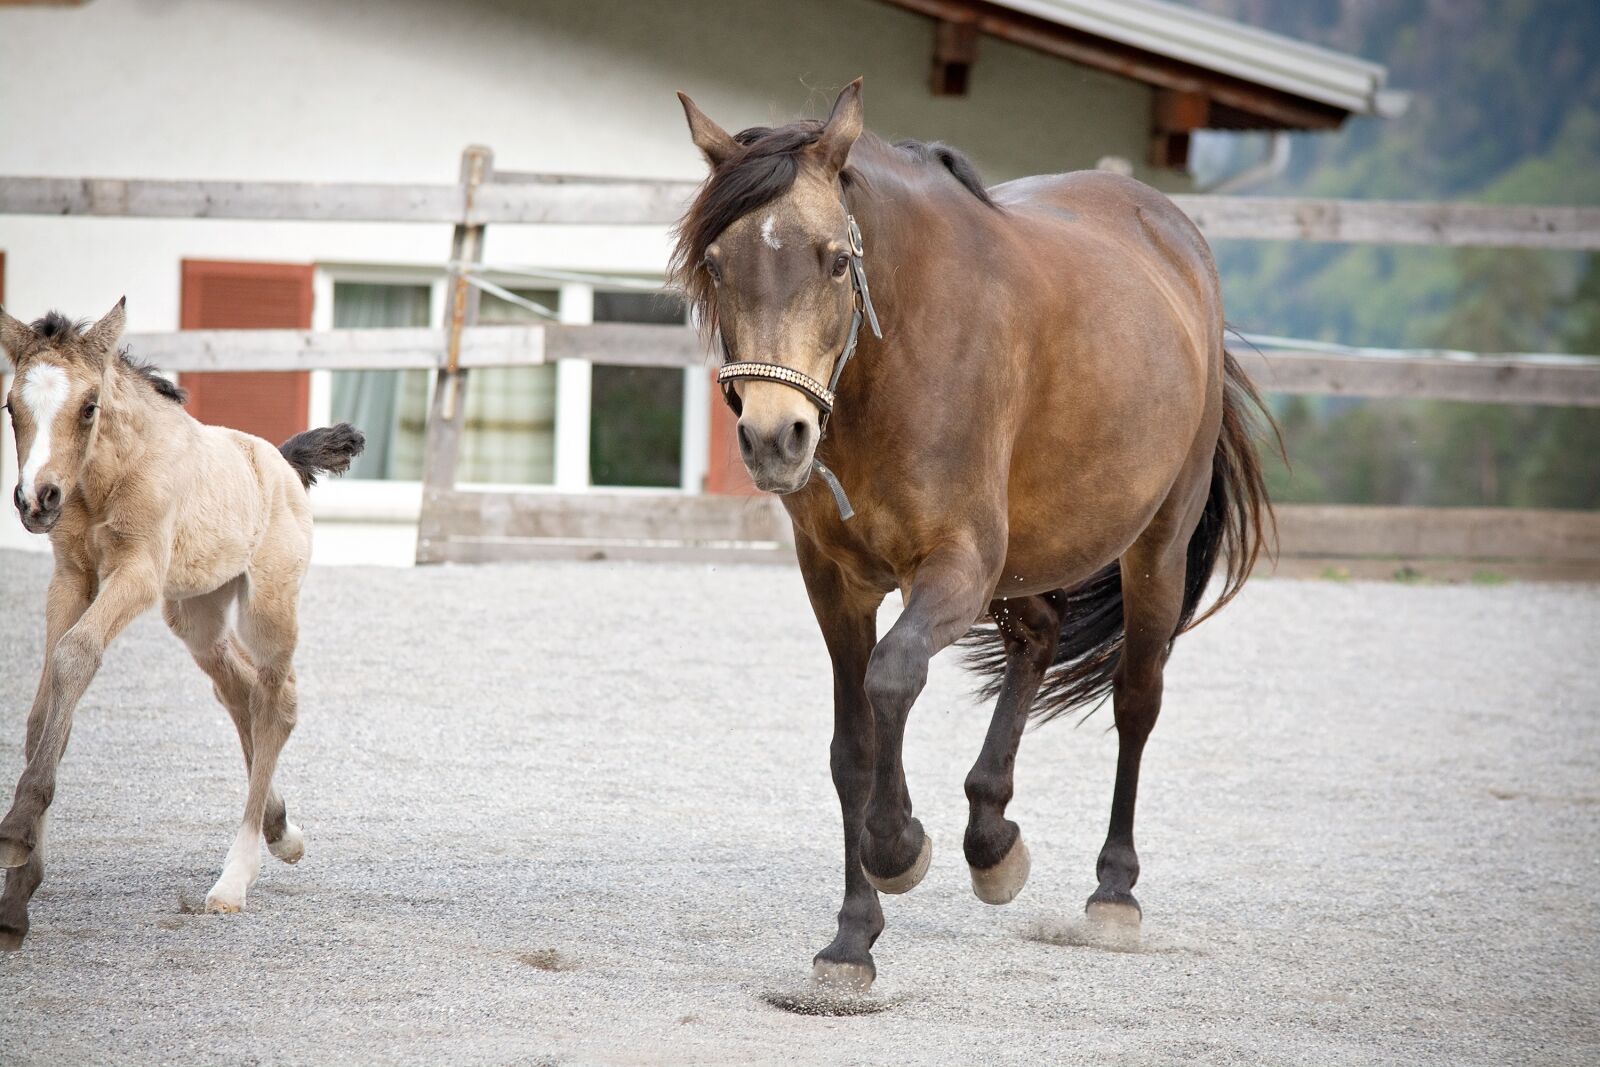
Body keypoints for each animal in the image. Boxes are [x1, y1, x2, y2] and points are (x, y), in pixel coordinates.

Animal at [0, 299, 364, 948]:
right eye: (11, 407)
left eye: (89, 405)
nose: (36, 499)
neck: (104, 479)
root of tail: (281, 461)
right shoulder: (70, 577)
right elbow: (46, 706)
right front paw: (17, 893)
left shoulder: (138, 573)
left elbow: (75, 655)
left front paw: (16, 833)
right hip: (196, 614)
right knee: (239, 691)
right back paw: (280, 830)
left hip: (267, 607)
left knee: (275, 702)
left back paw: (235, 877)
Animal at [672, 80, 1274, 990]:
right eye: (716, 263)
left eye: (836, 260)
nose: (776, 437)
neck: (897, 361)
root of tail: (1176, 235)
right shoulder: (835, 582)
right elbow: (852, 745)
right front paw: (852, 937)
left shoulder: (957, 565)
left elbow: (892, 679)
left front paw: (897, 847)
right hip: (1025, 561)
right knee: (1040, 637)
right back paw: (992, 840)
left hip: (1155, 547)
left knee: (1136, 698)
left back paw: (1113, 891)